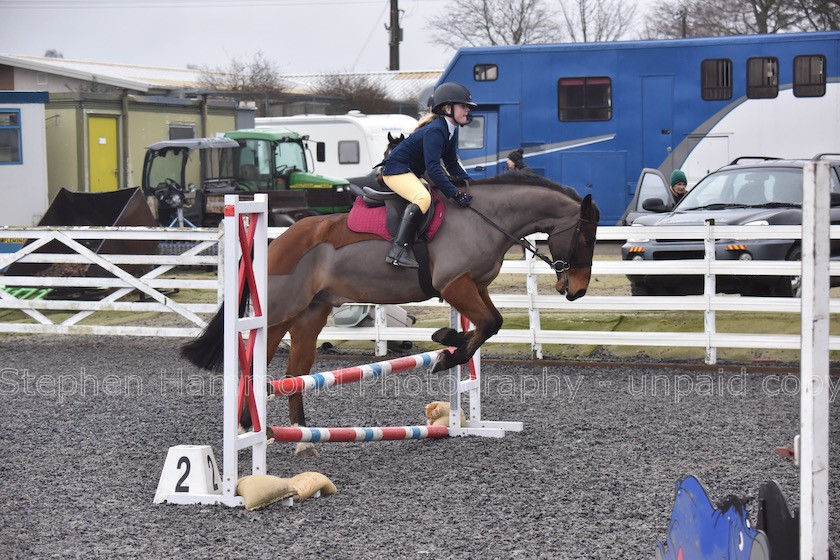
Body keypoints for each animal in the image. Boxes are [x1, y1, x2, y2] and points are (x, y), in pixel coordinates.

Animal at [180, 174, 600, 456]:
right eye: (584, 236)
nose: (577, 290)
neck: (486, 217)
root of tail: (276, 242)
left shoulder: (474, 287)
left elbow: (488, 324)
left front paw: (448, 344)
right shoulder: (455, 286)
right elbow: (488, 324)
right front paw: (446, 353)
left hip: (312, 314)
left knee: (294, 373)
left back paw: (300, 438)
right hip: (282, 311)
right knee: (255, 361)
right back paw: (251, 426)